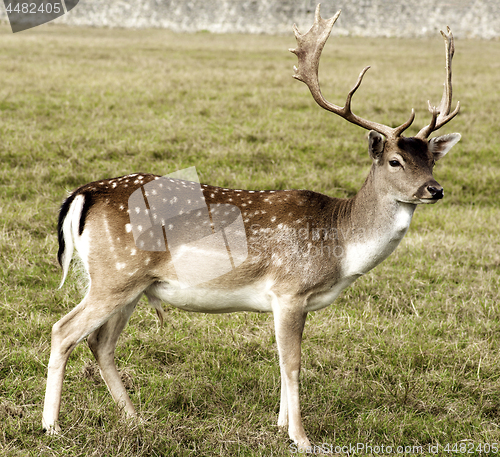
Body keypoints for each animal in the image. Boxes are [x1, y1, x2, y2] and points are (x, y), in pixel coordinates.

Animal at [43, 5, 460, 448]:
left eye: (432, 160)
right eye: (396, 161)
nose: (434, 189)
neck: (340, 245)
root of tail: (83, 194)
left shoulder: (286, 300)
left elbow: (280, 360)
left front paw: (279, 425)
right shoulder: (290, 289)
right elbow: (293, 363)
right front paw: (301, 438)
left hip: (132, 284)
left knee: (99, 342)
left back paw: (136, 420)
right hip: (115, 276)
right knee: (63, 330)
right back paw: (52, 426)